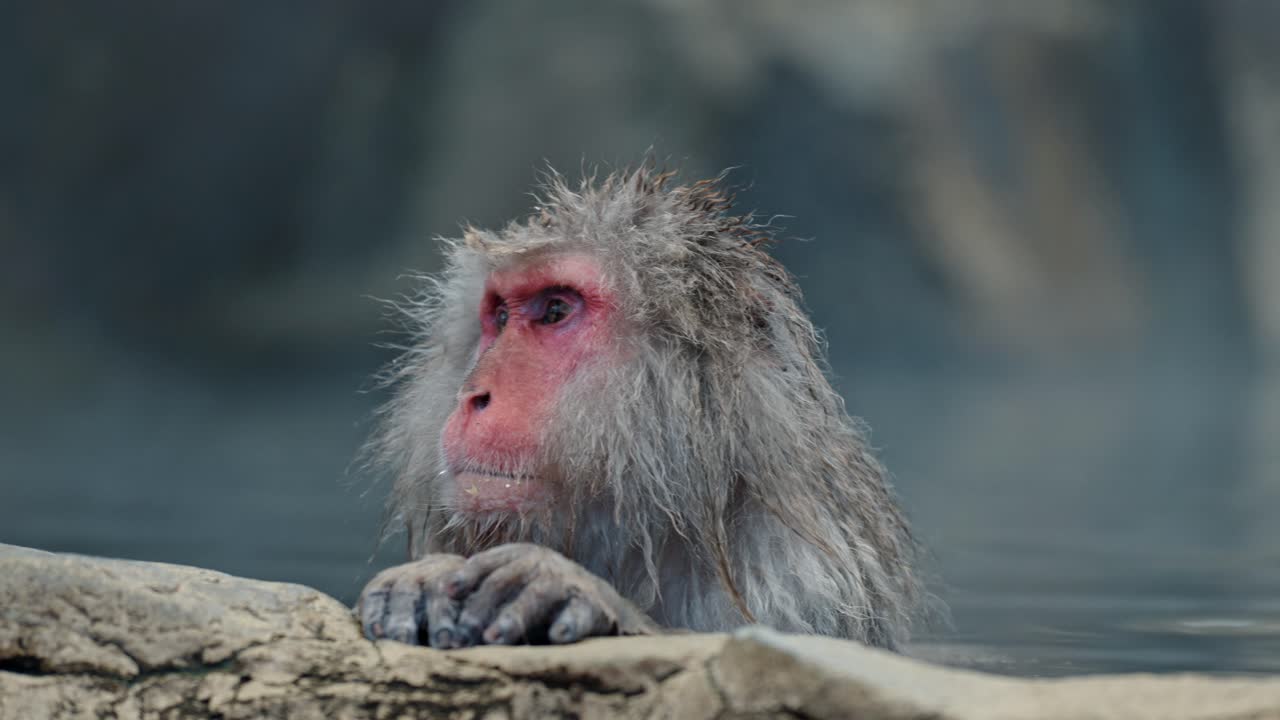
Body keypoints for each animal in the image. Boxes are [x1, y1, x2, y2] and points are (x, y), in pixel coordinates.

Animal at [357, 166, 921, 652]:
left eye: (555, 310)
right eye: (498, 316)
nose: (473, 395)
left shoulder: (801, 577)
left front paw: (573, 588)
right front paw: (423, 579)